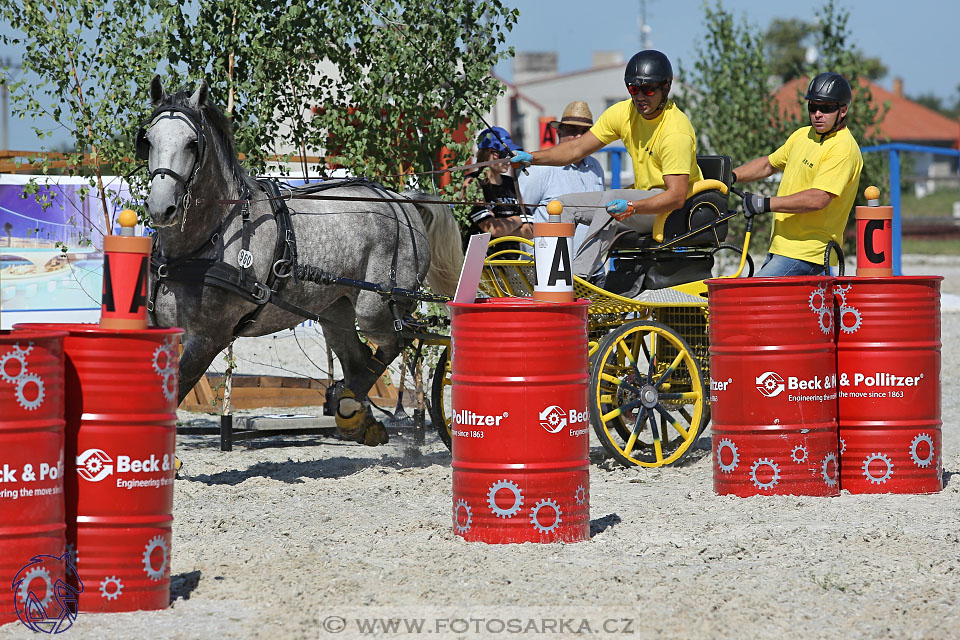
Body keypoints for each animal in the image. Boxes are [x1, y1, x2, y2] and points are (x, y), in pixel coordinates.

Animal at [142, 77, 464, 448]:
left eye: (193, 143)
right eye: (147, 140)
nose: (160, 208)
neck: (209, 239)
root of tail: (402, 199)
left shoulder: (208, 337)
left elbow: (175, 392)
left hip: (379, 308)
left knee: (395, 342)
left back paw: (349, 405)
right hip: (335, 310)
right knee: (358, 359)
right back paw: (358, 419)